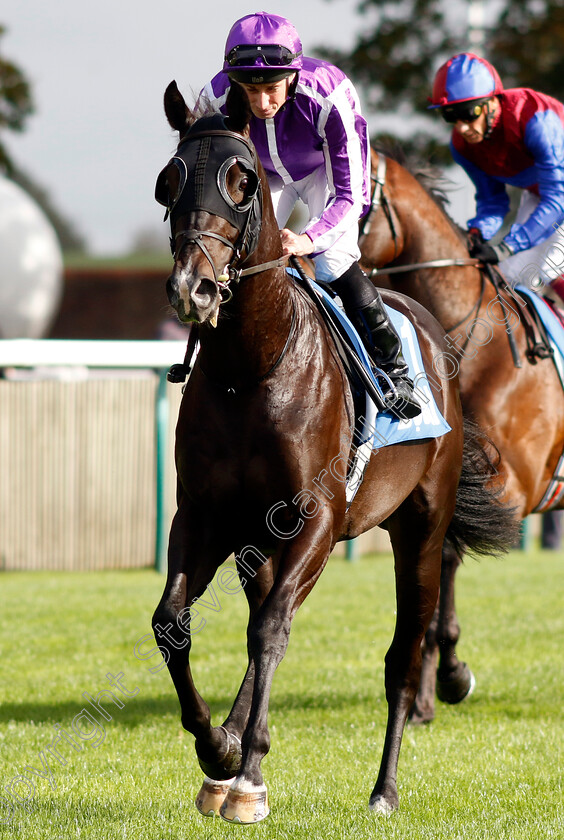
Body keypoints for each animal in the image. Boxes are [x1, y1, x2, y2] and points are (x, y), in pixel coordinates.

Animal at [152, 82, 516, 824]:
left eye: (242, 181)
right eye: (167, 183)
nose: (192, 289)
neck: (249, 368)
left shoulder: (316, 517)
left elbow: (269, 631)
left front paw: (249, 776)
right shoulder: (205, 517)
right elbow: (176, 621)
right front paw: (218, 750)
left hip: (420, 528)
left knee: (402, 654)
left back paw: (383, 789)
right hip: (263, 545)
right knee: (270, 610)